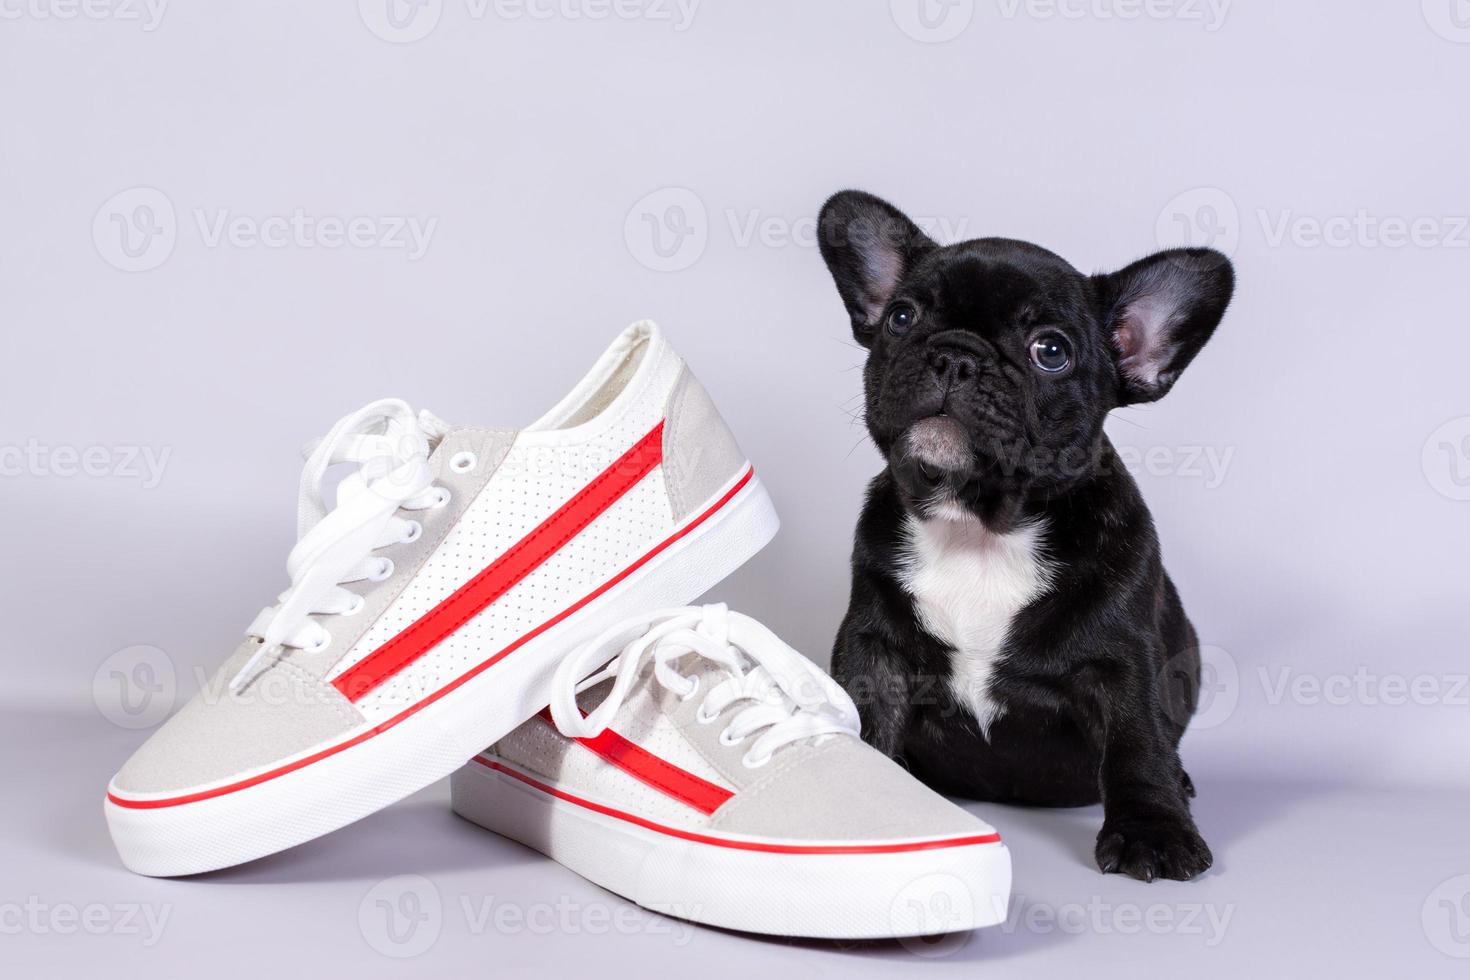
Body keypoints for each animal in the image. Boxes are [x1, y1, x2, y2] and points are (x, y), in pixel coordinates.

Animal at [823, 189, 1234, 881]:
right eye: (902, 316)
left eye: (1051, 351)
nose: (956, 354)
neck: (980, 528)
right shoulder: (874, 651)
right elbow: (864, 721)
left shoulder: (1122, 663)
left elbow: (1137, 743)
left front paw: (1153, 830)